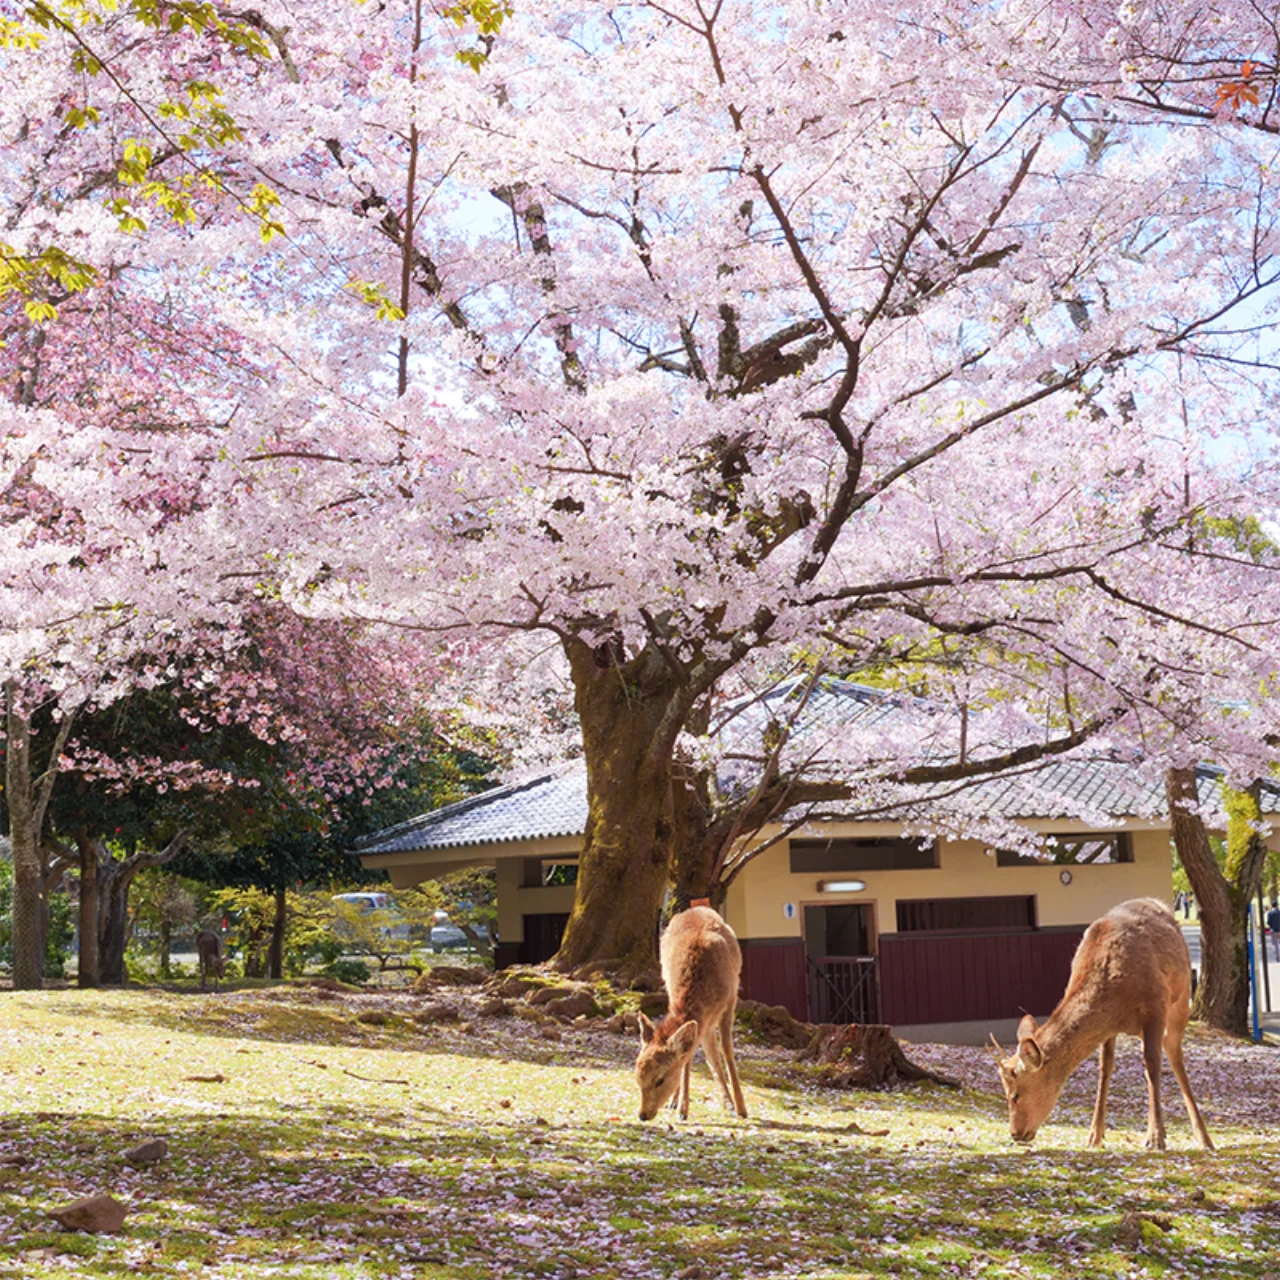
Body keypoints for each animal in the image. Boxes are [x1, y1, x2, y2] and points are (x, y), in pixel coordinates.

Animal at [632, 901, 747, 1121]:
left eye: (660, 1079)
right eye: (638, 1078)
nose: (643, 1114)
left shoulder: (730, 1000)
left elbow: (727, 1050)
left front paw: (742, 1108)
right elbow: (689, 1057)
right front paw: (681, 1109)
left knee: (713, 1052)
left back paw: (730, 1104)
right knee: (706, 1052)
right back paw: (678, 1102)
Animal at [988, 896, 1208, 1157]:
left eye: (1015, 1095)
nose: (1015, 1133)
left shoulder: (1155, 1006)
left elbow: (1153, 1066)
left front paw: (1156, 1138)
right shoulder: (1109, 1029)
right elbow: (1105, 1069)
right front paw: (1094, 1136)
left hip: (1180, 999)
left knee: (1174, 1054)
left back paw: (1204, 1138)